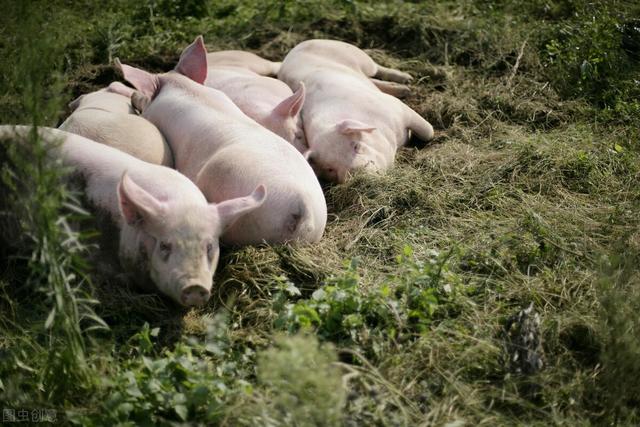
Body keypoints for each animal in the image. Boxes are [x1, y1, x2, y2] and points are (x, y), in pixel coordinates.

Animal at [278, 40, 432, 186]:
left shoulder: (397, 108)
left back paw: (408, 80)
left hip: (358, 57)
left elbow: (428, 132)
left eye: (356, 146)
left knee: (375, 67)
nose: (360, 176)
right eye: (330, 168)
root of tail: (291, 53)